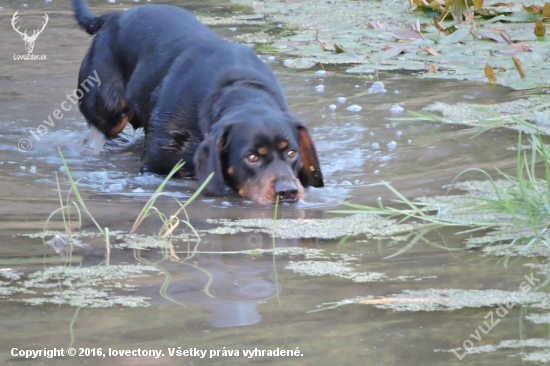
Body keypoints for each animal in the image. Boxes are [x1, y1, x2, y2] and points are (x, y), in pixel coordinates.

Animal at [72, 0, 324, 204]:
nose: (288, 192)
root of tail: (112, 17)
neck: (237, 90)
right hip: (108, 114)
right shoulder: (154, 168)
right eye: (251, 158)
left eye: (291, 153)